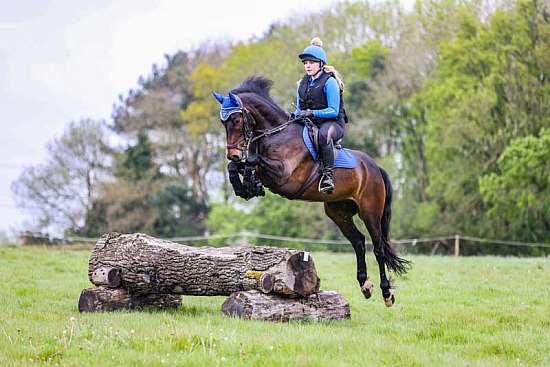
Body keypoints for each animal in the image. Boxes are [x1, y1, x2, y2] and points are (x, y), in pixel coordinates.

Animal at [213, 75, 412, 308]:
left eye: (236, 120)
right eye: (223, 122)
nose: (233, 154)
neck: (276, 133)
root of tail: (376, 168)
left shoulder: (284, 177)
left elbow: (253, 160)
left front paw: (249, 182)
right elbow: (237, 167)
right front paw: (246, 187)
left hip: (370, 211)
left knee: (378, 248)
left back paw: (386, 293)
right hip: (338, 212)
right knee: (358, 242)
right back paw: (365, 285)